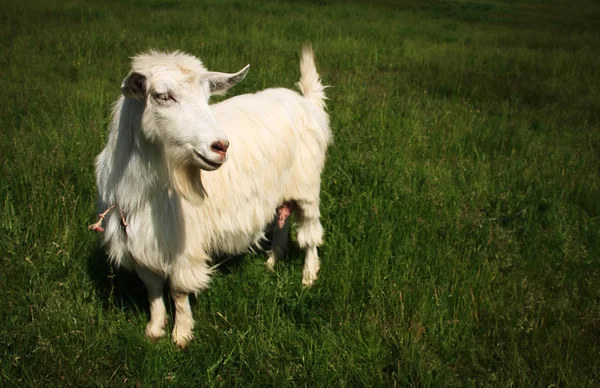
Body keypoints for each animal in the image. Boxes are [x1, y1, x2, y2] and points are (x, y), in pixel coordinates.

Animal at [92, 44, 332, 346]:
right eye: (162, 96)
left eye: (207, 97)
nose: (221, 146)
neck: (143, 188)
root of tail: (306, 101)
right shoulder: (137, 239)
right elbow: (152, 289)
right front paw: (155, 329)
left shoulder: (184, 243)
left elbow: (178, 290)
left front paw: (181, 335)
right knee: (282, 218)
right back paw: (272, 261)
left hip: (307, 187)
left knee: (310, 233)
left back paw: (308, 276)